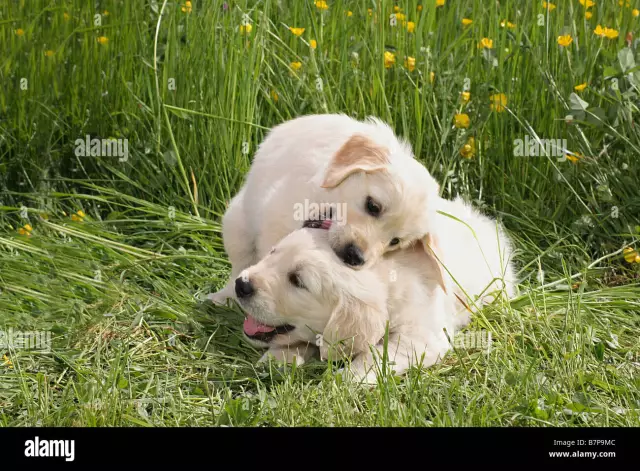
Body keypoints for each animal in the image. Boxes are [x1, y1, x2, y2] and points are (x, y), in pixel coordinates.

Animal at [208, 115, 442, 306]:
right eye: (373, 206)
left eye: (395, 242)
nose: (355, 258)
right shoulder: (278, 216)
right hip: (236, 224)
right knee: (239, 264)